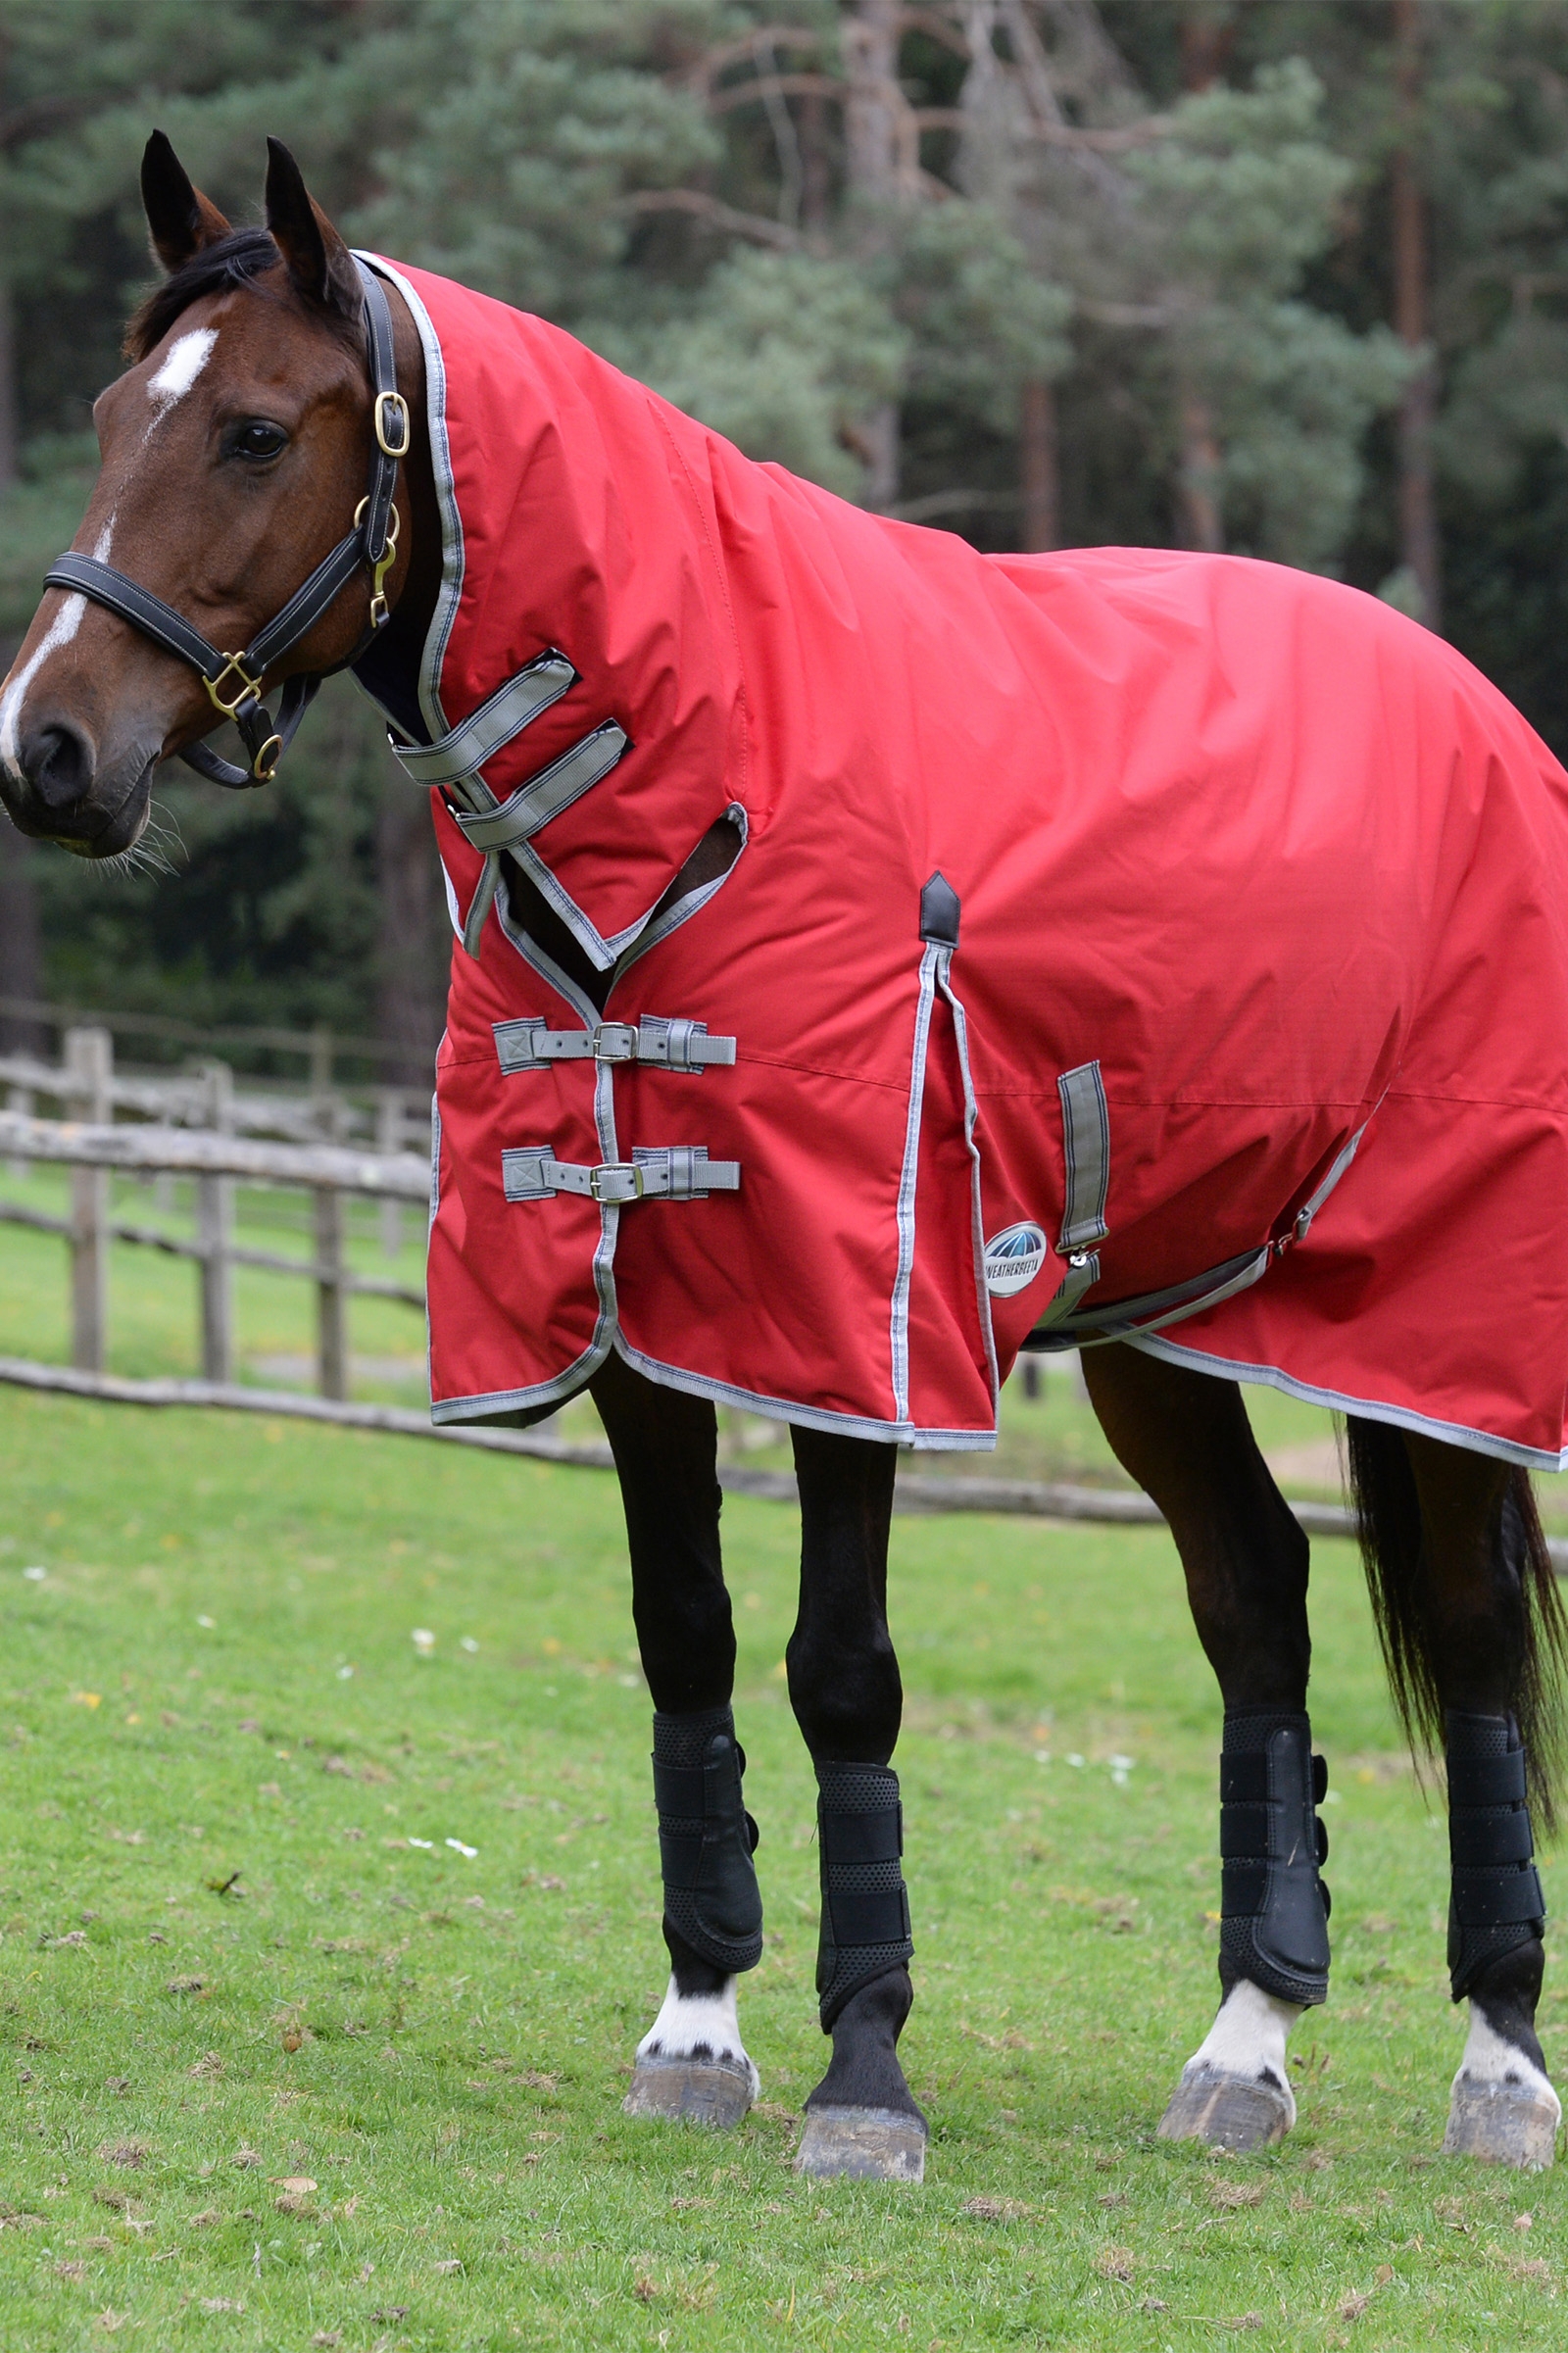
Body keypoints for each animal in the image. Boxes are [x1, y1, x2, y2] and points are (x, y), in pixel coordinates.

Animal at [3, 132, 1566, 2181]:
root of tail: (1486, 715)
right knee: (1260, 1611)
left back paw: (1501, 2065)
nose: (46, 749)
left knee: (1472, 1637)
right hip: (1161, 1324)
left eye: (258, 431)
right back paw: (1246, 2045)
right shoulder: (631, 1317)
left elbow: (842, 1670)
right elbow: (686, 1642)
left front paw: (866, 2074)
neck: (704, 756)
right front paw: (698, 2030)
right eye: (116, 413)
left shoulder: (851, 1320)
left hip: (1431, 1329)